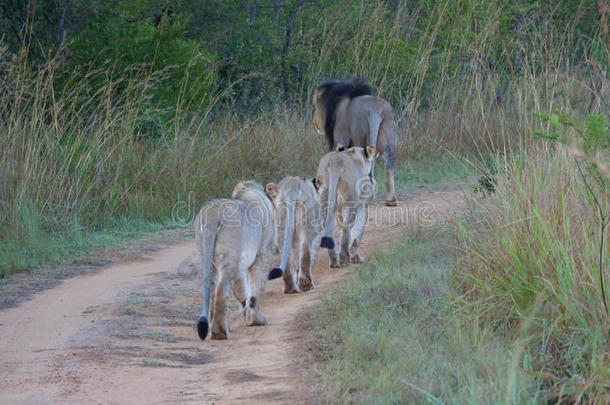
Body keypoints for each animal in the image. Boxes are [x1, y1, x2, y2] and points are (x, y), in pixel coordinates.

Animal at [194, 181, 276, 340]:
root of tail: (213, 212)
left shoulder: (240, 264)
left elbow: (242, 290)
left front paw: (248, 318)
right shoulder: (263, 254)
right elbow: (256, 287)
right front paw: (256, 320)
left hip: (209, 257)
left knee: (213, 289)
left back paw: (214, 327)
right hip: (229, 257)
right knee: (221, 290)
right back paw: (220, 332)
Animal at [308, 77, 400, 205]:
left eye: (316, 105)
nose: (314, 123)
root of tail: (376, 110)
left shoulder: (341, 139)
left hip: (360, 137)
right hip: (388, 138)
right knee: (389, 166)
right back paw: (390, 200)